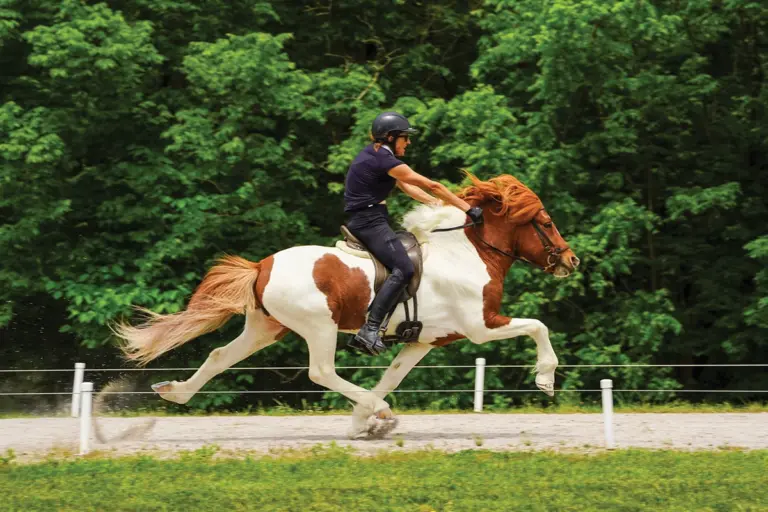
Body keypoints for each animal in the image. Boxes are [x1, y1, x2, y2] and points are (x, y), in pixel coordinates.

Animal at [114, 173, 580, 438]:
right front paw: (545, 379)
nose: (572, 260)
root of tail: (262, 265)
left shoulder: (424, 341)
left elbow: (392, 376)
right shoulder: (483, 325)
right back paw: (382, 412)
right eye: (546, 222)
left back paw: (175, 392)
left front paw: (361, 422)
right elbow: (538, 326)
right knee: (320, 371)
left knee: (218, 356)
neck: (466, 252)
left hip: (266, 328)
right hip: (318, 326)